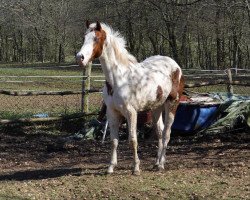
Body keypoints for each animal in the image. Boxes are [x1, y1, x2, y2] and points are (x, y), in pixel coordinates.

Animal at [77, 20, 185, 175]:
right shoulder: (112, 113)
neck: (119, 79)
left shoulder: (131, 112)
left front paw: (136, 168)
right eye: (84, 37)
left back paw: (161, 164)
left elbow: (133, 140)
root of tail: (175, 65)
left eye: (96, 38)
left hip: (172, 104)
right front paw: (111, 167)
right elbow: (114, 141)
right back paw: (156, 162)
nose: (80, 58)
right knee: (159, 132)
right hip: (156, 108)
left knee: (166, 133)